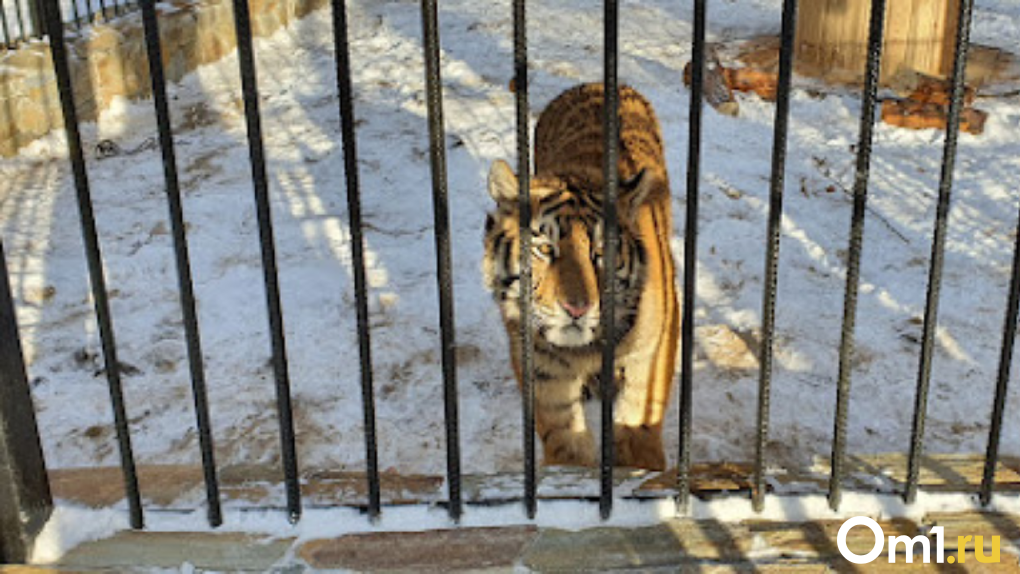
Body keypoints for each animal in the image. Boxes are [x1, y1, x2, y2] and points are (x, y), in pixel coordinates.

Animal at [483, 85, 677, 471]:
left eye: (600, 252)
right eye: (545, 248)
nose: (576, 309)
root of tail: (591, 84)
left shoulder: (655, 343)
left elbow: (640, 413)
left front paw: (642, 465)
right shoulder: (542, 363)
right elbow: (563, 431)